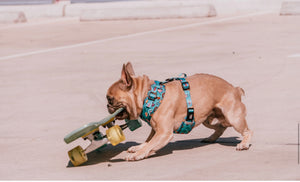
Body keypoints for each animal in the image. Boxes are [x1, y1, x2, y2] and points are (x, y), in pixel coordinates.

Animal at [106, 62, 252, 161]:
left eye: (110, 99)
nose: (107, 106)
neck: (149, 96)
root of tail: (235, 89)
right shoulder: (156, 130)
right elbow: (148, 141)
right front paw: (138, 148)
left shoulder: (164, 133)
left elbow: (150, 144)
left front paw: (138, 154)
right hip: (207, 119)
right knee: (221, 127)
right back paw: (211, 138)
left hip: (233, 117)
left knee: (247, 131)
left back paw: (244, 144)